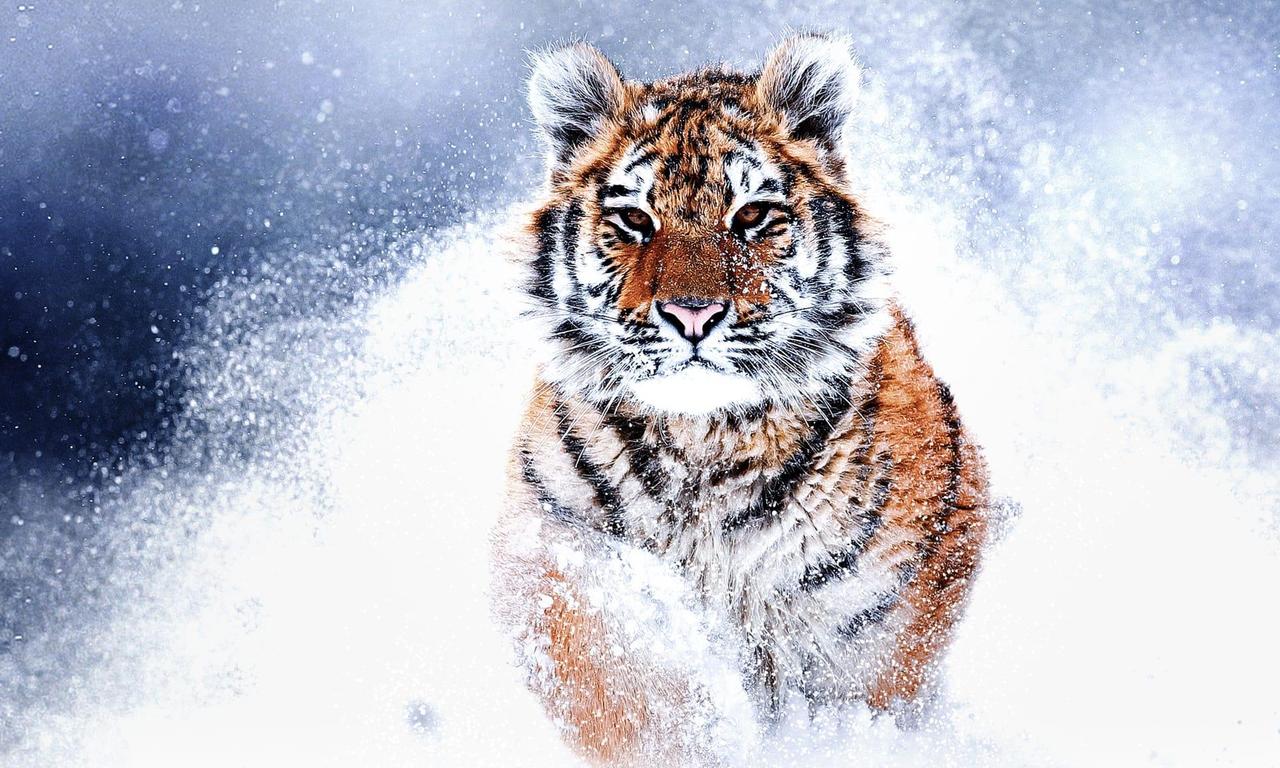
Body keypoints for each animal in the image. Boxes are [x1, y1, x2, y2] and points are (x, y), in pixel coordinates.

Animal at [490, 32, 989, 766]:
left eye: (752, 215)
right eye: (634, 219)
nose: (691, 314)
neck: (705, 440)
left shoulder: (876, 620)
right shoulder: (555, 552)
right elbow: (619, 689)